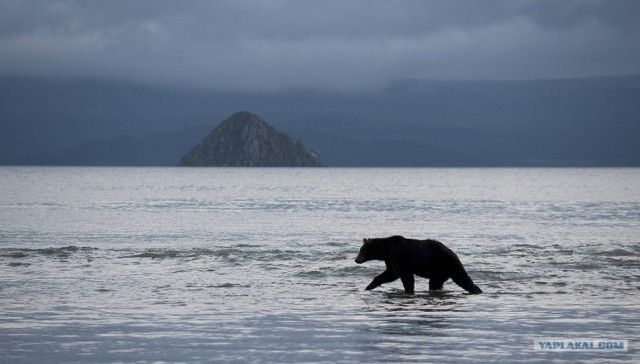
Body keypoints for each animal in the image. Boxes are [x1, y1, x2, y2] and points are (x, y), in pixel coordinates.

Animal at [352, 236, 482, 292]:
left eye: (362, 250)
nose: (356, 260)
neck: (386, 250)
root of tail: (454, 253)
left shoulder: (399, 256)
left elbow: (406, 275)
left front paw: (409, 290)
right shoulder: (390, 260)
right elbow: (390, 274)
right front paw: (369, 286)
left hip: (449, 263)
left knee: (462, 278)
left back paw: (476, 290)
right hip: (439, 272)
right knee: (434, 283)